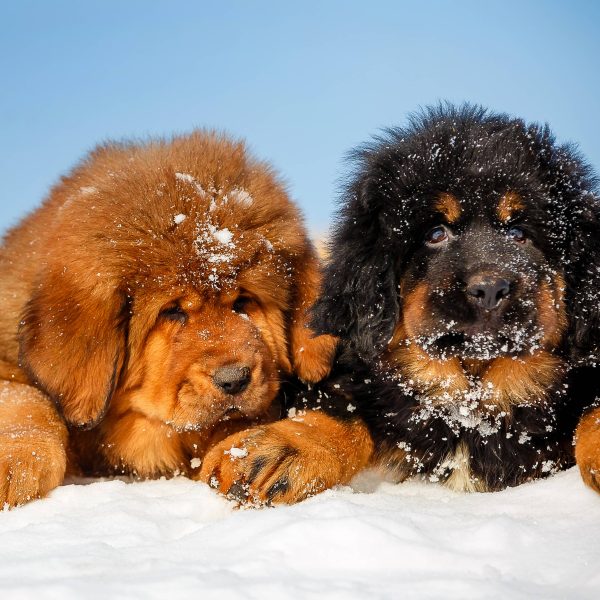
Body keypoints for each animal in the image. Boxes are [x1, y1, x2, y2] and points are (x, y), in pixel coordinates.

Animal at [200, 105, 600, 504]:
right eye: (435, 234)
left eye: (519, 234)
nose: (489, 289)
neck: (470, 401)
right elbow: (345, 408)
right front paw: (281, 447)